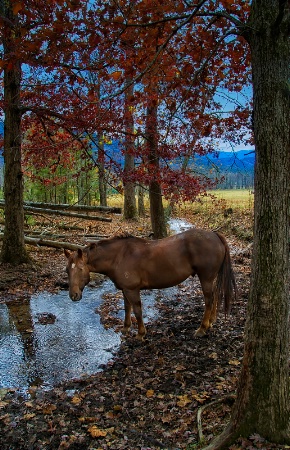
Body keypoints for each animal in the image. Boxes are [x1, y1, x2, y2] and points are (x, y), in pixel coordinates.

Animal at [64, 230, 237, 340]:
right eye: (67, 270)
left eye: (80, 269)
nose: (73, 296)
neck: (119, 256)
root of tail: (214, 235)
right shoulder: (125, 290)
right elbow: (127, 308)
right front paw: (126, 328)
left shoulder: (132, 290)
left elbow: (137, 311)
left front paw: (141, 334)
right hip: (210, 278)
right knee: (214, 298)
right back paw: (211, 322)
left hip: (206, 278)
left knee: (209, 300)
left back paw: (202, 328)